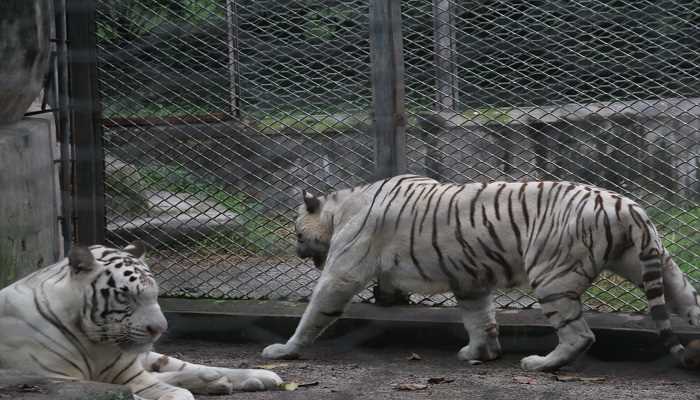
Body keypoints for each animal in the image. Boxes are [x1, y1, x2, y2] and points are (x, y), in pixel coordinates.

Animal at [0, 242, 282, 400]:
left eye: (155, 294)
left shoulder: (127, 371)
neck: (95, 343)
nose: (159, 329)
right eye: (125, 295)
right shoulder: (56, 381)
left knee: (182, 366)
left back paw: (250, 376)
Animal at [262, 174, 700, 372]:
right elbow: (479, 319)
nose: (296, 249)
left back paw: (541, 364)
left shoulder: (343, 271)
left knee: (580, 334)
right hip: (655, 264)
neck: (341, 208)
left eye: (297, 232)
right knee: (688, 298)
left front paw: (285, 349)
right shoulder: (470, 279)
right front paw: (479, 353)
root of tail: (629, 206)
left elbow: (315, 311)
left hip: (551, 277)